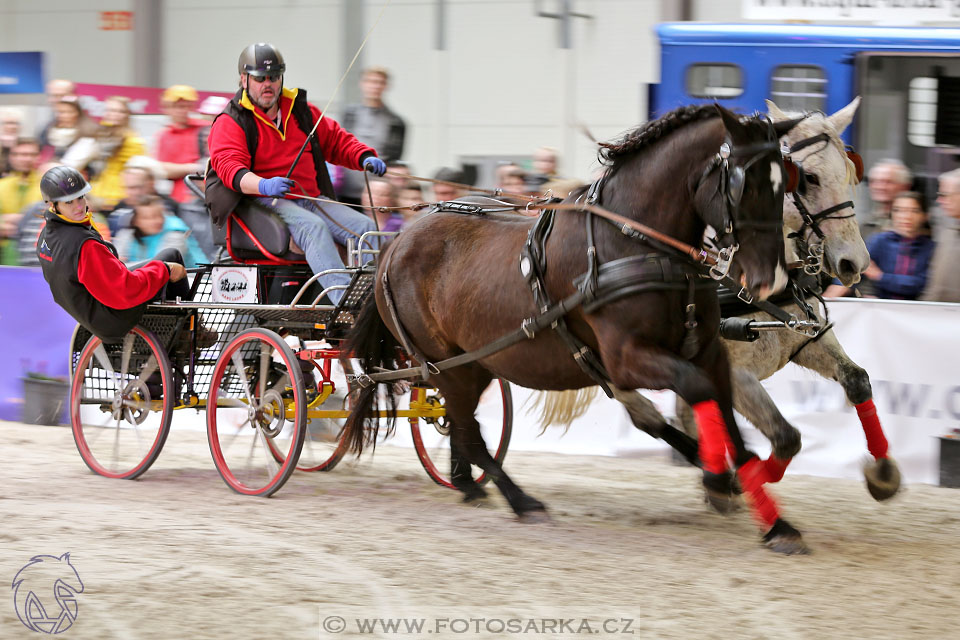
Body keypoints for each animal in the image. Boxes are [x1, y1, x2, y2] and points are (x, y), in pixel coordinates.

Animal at [342, 105, 808, 552]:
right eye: (743, 185)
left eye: (786, 181)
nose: (771, 280)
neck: (636, 243)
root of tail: (394, 245)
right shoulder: (626, 360)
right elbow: (697, 389)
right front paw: (718, 480)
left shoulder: (709, 351)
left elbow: (727, 413)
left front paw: (771, 517)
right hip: (443, 365)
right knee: (469, 433)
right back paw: (521, 501)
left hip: (476, 363)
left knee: (460, 425)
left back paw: (467, 486)